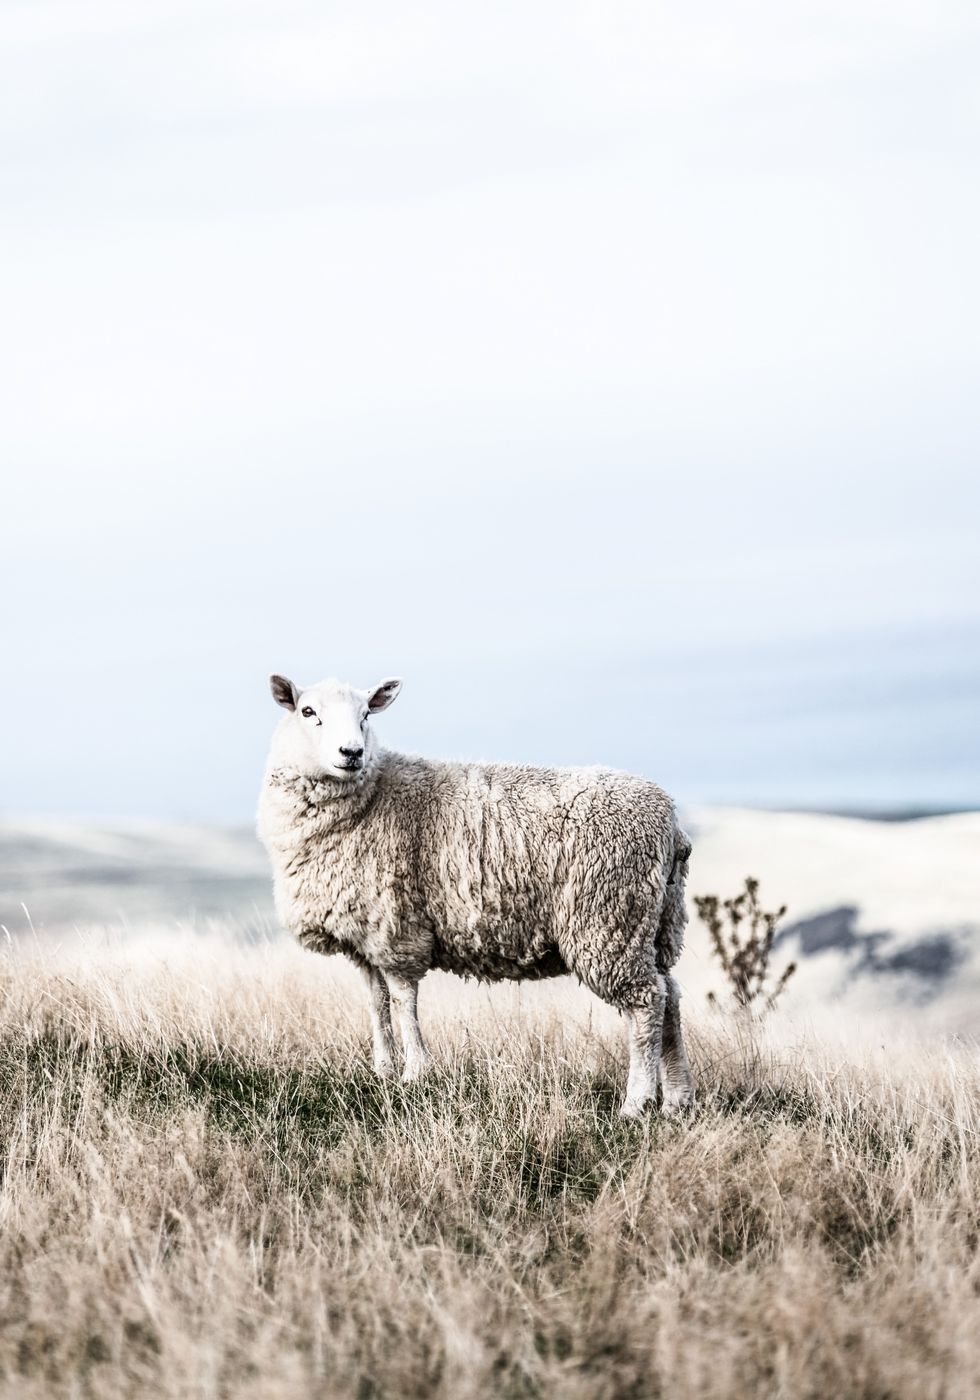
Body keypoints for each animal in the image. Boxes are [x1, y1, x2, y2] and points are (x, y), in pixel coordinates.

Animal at [256, 672, 691, 1120]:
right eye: (308, 711)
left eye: (365, 716)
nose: (352, 753)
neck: (373, 796)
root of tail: (670, 823)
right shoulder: (366, 937)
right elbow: (377, 1004)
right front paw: (383, 1070)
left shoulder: (398, 930)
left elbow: (403, 1002)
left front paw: (415, 1073)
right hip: (655, 923)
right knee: (670, 996)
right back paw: (676, 1098)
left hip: (608, 920)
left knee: (646, 1002)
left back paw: (637, 1101)